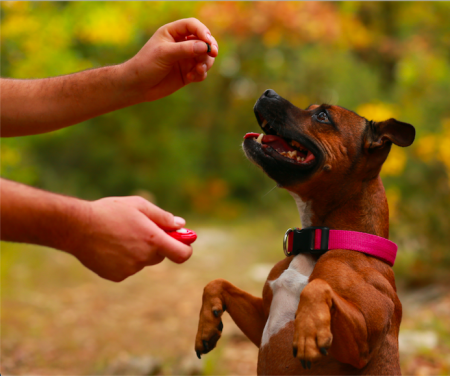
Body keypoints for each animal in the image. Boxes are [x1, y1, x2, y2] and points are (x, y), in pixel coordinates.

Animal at [193, 89, 414, 374]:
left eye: (322, 116)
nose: (268, 92)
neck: (318, 241)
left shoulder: (363, 341)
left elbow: (317, 286)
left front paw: (308, 331)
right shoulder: (261, 318)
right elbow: (217, 282)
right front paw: (207, 325)